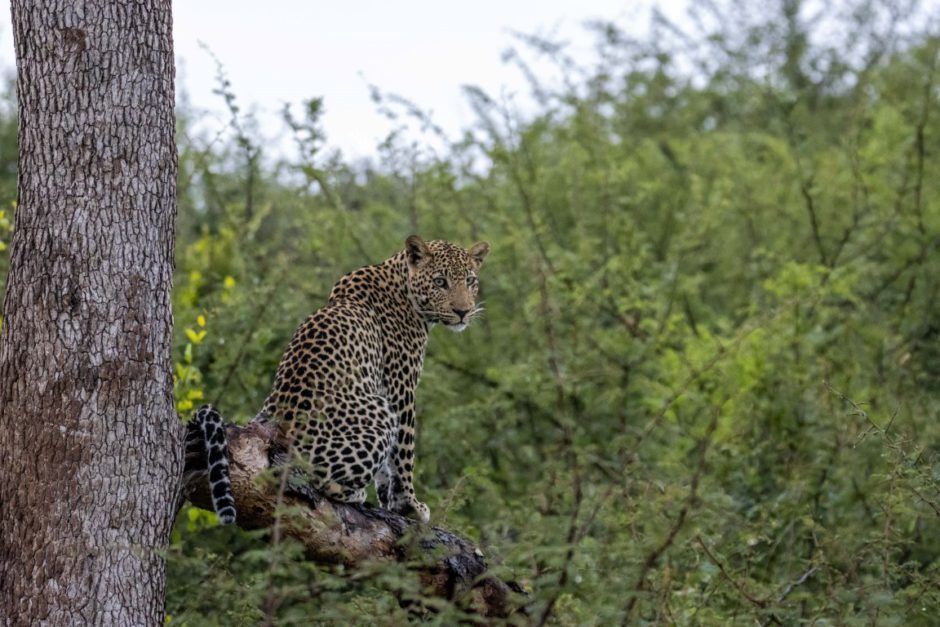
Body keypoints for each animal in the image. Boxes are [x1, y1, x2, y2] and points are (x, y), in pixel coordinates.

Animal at [252, 233, 492, 524]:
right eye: (440, 282)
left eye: (470, 281)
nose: (463, 311)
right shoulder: (401, 389)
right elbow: (404, 453)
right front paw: (409, 505)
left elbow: (386, 469)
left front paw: (389, 501)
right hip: (378, 412)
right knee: (321, 481)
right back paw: (354, 493)